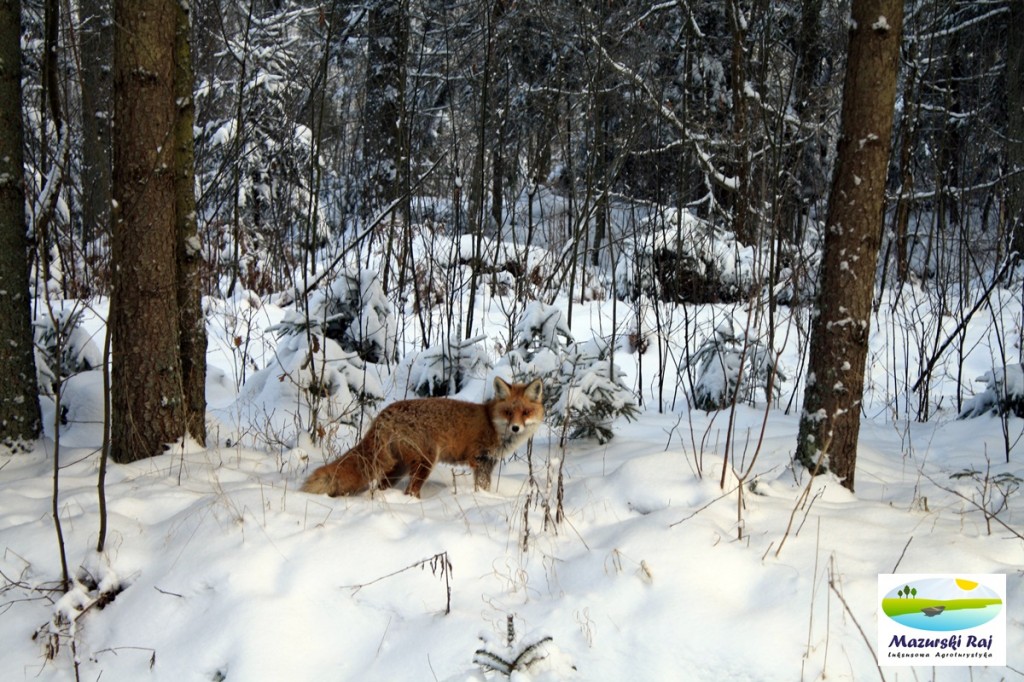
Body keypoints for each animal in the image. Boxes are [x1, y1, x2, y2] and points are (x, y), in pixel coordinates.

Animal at [299, 374, 544, 497]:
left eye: (525, 412)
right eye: (508, 412)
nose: (516, 428)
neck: (491, 422)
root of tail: (384, 413)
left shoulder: (488, 463)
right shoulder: (480, 460)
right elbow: (482, 487)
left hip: (399, 467)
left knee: (381, 488)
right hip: (425, 461)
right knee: (410, 491)